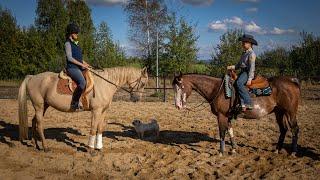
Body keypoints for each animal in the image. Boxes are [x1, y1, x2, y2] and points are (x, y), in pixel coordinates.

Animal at [19, 66, 149, 153]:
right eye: (143, 83)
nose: (137, 99)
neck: (104, 84)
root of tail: (32, 77)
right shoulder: (96, 111)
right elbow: (93, 128)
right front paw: (91, 149)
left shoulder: (103, 111)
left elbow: (100, 128)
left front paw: (99, 147)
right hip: (39, 106)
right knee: (39, 124)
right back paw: (45, 147)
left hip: (44, 106)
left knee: (34, 121)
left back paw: (35, 144)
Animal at [172, 73, 300, 156]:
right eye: (174, 88)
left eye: (181, 87)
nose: (178, 105)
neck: (217, 90)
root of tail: (292, 81)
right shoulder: (227, 116)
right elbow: (230, 131)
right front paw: (233, 149)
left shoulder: (221, 116)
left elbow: (222, 133)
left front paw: (221, 152)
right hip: (279, 112)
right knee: (283, 129)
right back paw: (277, 150)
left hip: (290, 112)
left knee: (294, 129)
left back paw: (293, 152)